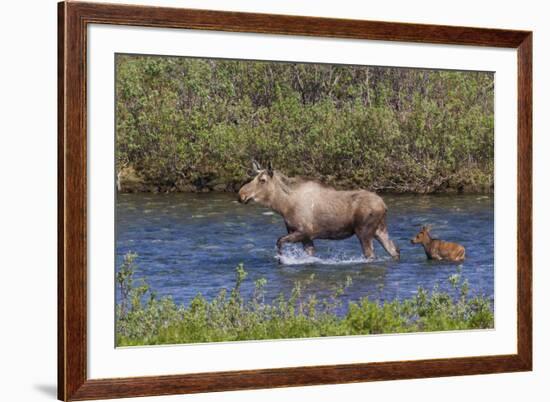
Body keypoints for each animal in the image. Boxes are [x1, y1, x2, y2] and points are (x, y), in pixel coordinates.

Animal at [238, 161, 402, 260]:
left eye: (262, 180)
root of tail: (384, 205)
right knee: (395, 250)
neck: (283, 206)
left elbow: (279, 242)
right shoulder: (305, 237)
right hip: (380, 230)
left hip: (364, 232)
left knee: (371, 255)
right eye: (253, 178)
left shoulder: (304, 231)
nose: (241, 194)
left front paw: (282, 259)